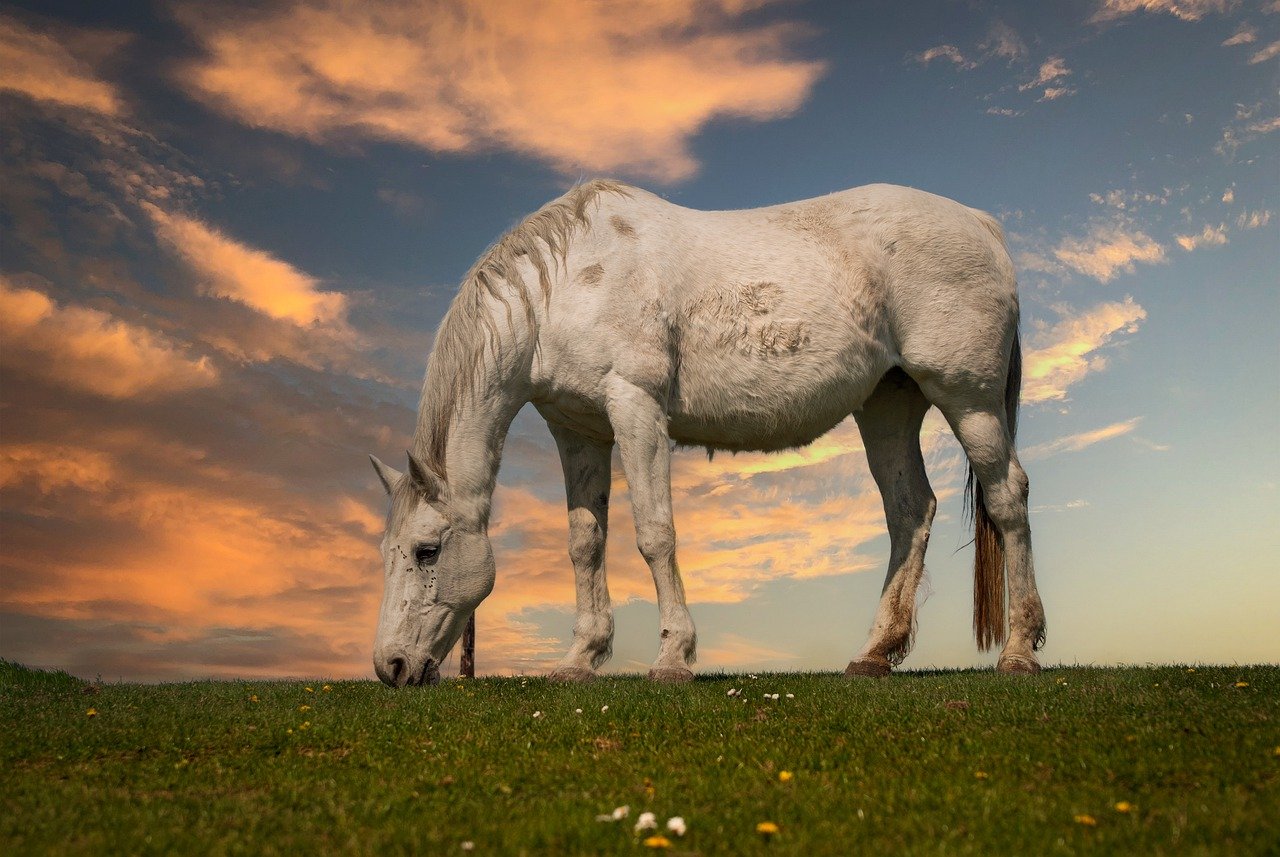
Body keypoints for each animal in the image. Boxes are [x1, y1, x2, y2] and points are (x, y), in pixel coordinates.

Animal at [366, 177, 1044, 690]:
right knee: (910, 511)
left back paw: (1019, 650)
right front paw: (579, 659)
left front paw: (672, 657)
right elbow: (585, 544)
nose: (391, 666)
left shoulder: (635, 408)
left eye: (427, 551)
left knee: (1007, 497)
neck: (568, 284)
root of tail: (981, 222)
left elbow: (654, 534)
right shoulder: (578, 432)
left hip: (970, 400)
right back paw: (876, 654)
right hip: (887, 405)